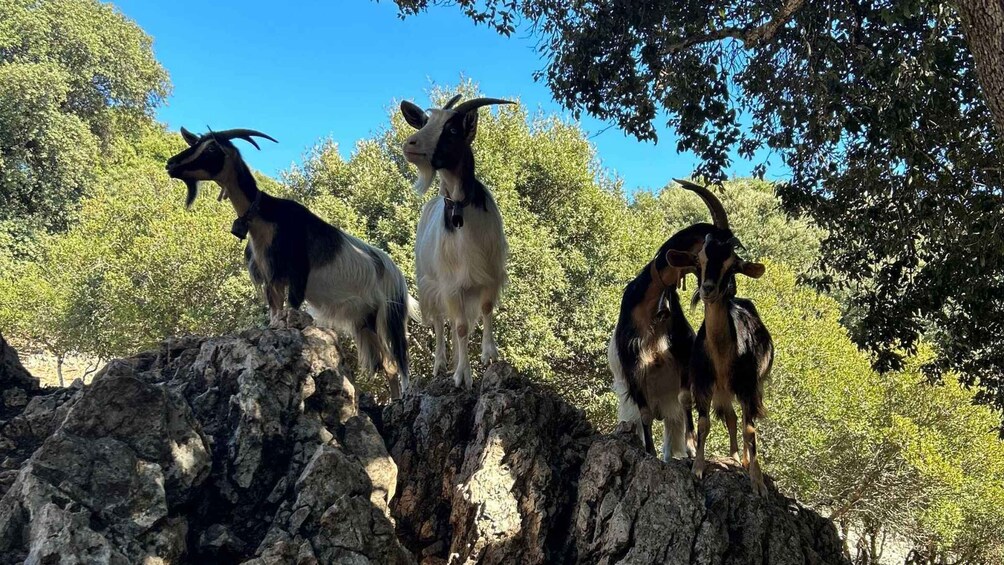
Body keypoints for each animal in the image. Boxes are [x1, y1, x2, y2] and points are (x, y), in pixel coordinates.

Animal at [166, 125, 417, 399]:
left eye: (211, 148)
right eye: (195, 144)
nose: (171, 164)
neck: (267, 217)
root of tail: (394, 273)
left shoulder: (297, 275)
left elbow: (291, 310)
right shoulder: (272, 280)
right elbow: (275, 316)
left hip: (384, 314)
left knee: (394, 362)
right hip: (363, 319)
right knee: (386, 364)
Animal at [397, 94, 510, 391]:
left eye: (452, 130)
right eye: (425, 122)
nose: (410, 144)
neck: (459, 205)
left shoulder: (488, 274)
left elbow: (485, 310)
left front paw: (489, 355)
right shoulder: (451, 283)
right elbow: (458, 328)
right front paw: (462, 376)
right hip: (430, 284)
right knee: (440, 323)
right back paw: (440, 365)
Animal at [602, 183, 730, 461]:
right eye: (708, 253)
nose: (726, 289)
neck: (651, 307)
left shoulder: (683, 358)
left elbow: (686, 400)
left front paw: (692, 449)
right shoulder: (633, 369)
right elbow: (645, 414)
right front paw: (648, 452)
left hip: (671, 410)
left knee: (673, 430)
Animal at [666, 178, 775, 497]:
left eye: (732, 264)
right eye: (700, 260)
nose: (708, 289)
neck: (725, 351)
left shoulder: (748, 386)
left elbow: (751, 429)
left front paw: (757, 481)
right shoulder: (703, 383)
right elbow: (704, 425)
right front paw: (698, 469)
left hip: (751, 386)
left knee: (742, 421)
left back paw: (743, 460)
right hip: (723, 391)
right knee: (730, 418)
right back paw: (735, 456)